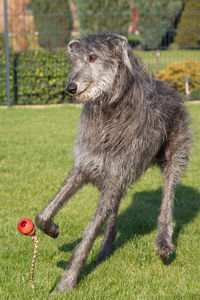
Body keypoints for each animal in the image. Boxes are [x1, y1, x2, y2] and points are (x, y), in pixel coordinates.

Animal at [36, 32, 192, 290]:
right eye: (74, 60)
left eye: (92, 57)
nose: (70, 88)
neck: (109, 111)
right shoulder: (84, 167)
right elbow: (43, 215)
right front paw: (54, 229)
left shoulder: (116, 175)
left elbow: (89, 233)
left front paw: (66, 283)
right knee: (115, 209)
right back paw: (106, 247)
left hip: (174, 155)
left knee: (167, 197)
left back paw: (163, 243)